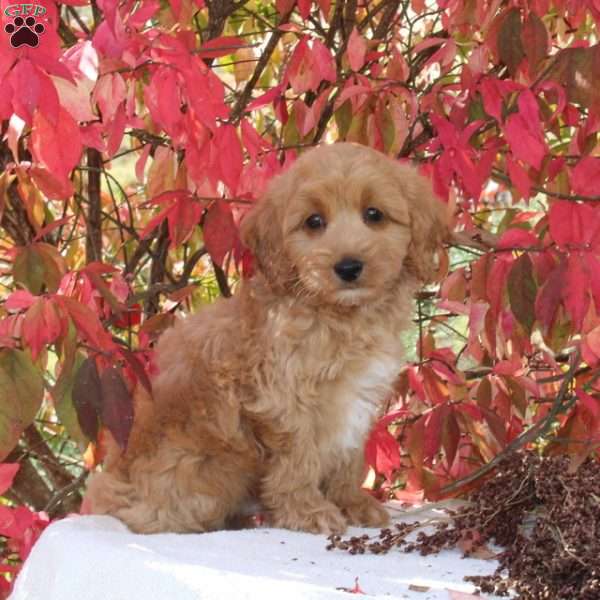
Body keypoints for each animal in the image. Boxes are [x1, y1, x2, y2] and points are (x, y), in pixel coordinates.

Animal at [86, 144, 448, 536]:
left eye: (374, 214)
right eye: (314, 222)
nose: (348, 267)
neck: (340, 316)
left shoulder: (356, 403)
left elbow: (347, 460)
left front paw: (352, 504)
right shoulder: (285, 401)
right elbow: (299, 461)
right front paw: (308, 512)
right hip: (208, 471)